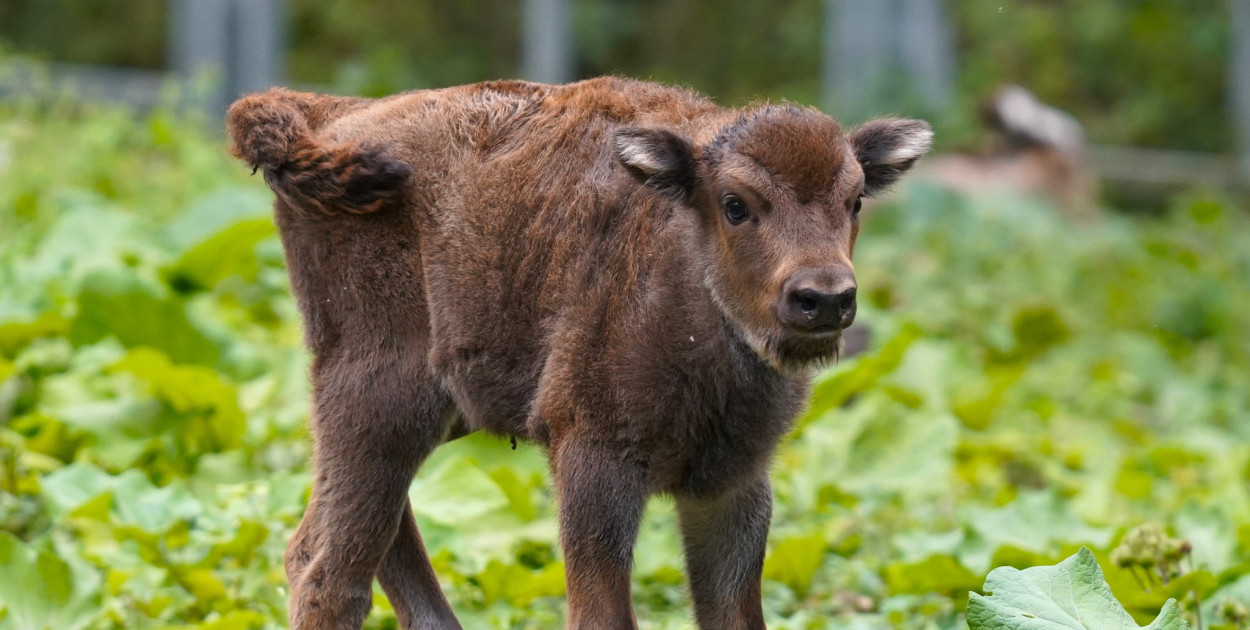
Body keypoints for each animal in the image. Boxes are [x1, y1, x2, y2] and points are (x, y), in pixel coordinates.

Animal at [225, 76, 935, 627]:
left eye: (855, 199)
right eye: (735, 204)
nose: (825, 298)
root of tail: (329, 116)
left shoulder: (731, 484)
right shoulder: (594, 462)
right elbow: (602, 613)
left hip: (432, 411)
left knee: (363, 539)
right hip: (378, 394)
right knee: (327, 566)